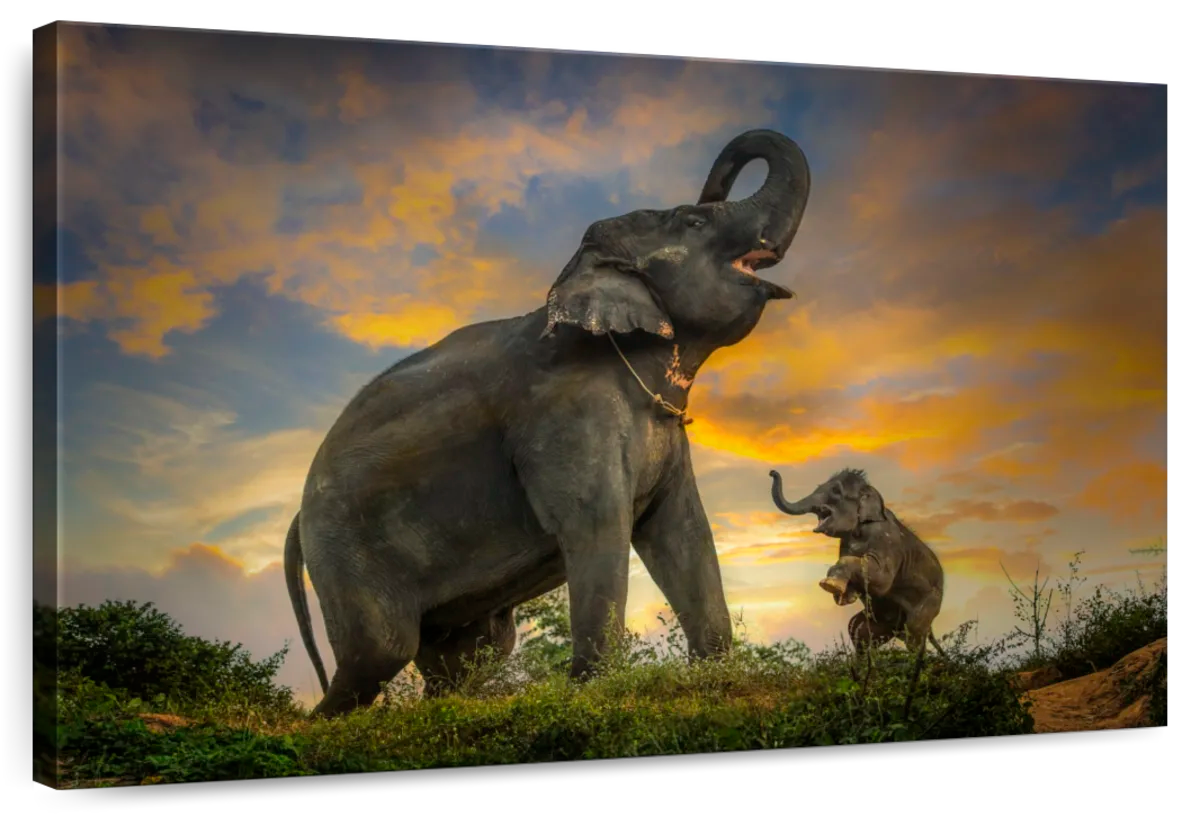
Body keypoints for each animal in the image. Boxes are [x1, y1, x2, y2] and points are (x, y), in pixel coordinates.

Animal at [285, 129, 813, 717]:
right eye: (693, 221)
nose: (713, 182)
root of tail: (296, 519)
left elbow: (684, 533)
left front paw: (718, 678)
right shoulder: (567, 417)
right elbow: (598, 526)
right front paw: (594, 691)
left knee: (472, 653)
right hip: (344, 549)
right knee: (379, 651)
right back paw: (321, 721)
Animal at [768, 468, 947, 659]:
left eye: (836, 491)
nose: (772, 472)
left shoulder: (886, 540)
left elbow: (882, 580)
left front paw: (830, 585)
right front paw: (842, 593)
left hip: (929, 602)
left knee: (914, 632)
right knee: (857, 629)